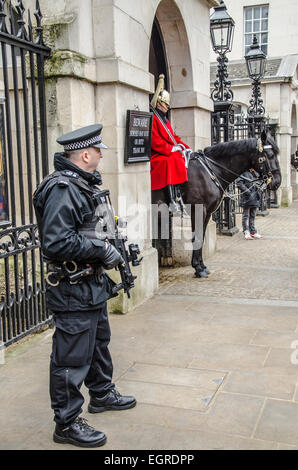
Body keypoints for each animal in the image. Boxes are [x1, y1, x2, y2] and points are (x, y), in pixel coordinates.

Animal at [152, 130, 280, 278]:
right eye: (270, 155)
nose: (277, 182)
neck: (210, 170)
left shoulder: (207, 213)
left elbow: (202, 236)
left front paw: (201, 266)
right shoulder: (198, 210)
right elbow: (197, 237)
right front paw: (198, 269)